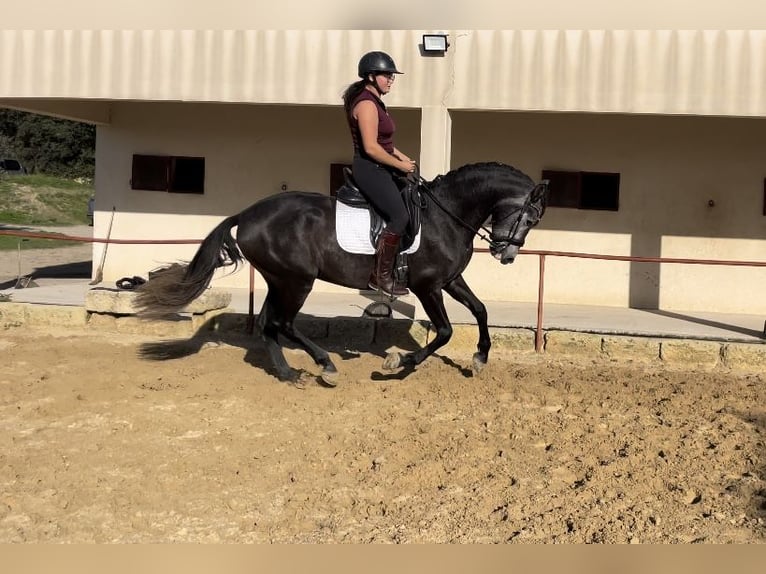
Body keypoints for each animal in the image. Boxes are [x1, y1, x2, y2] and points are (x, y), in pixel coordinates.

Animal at [135, 162, 548, 388]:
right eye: (529, 217)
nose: (506, 254)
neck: (445, 215)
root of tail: (247, 214)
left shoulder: (449, 281)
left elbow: (480, 310)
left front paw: (479, 358)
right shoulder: (427, 286)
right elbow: (445, 331)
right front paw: (398, 363)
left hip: (279, 280)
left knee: (270, 324)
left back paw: (289, 374)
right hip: (297, 281)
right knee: (283, 323)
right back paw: (325, 365)